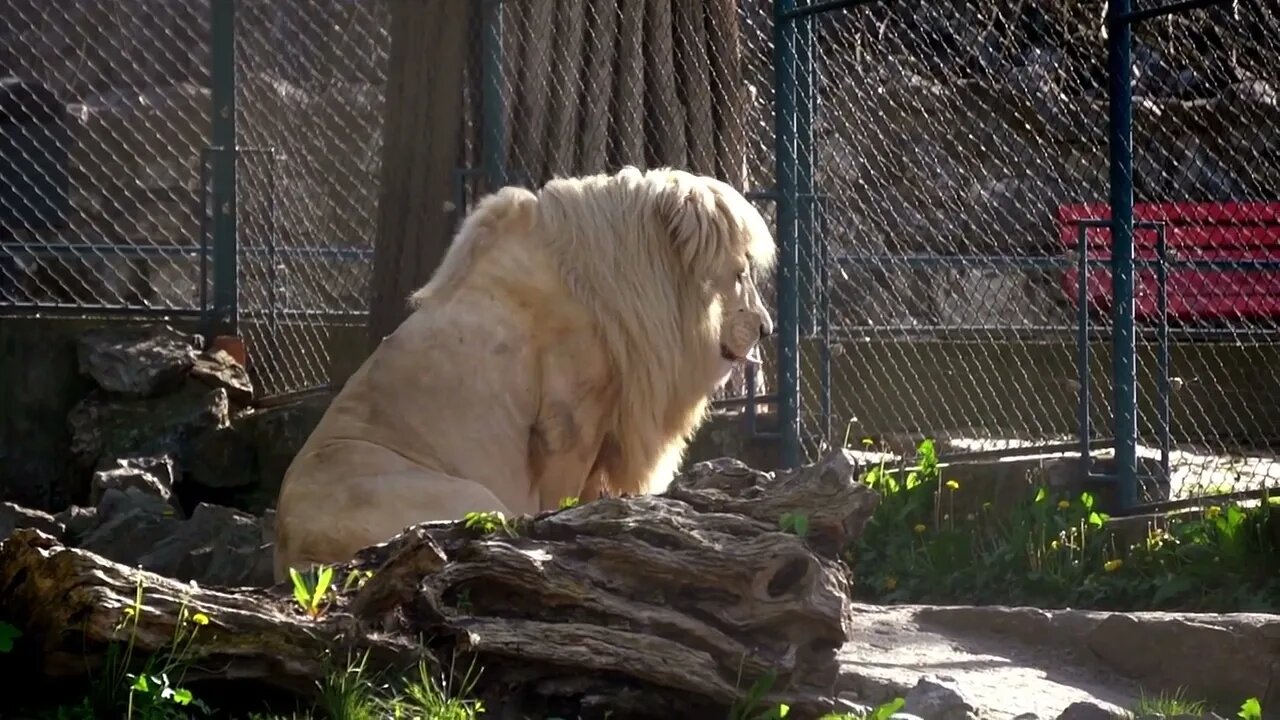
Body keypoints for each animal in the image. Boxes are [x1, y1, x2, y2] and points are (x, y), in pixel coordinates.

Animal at [273, 163, 773, 576]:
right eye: (739, 273)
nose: (766, 329)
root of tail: (294, 555)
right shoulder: (569, 420)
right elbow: (563, 496)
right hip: (471, 498)